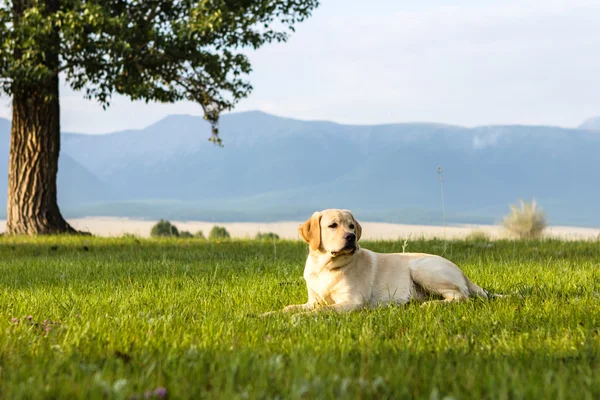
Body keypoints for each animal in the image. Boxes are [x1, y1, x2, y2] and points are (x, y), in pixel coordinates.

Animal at [264, 209, 490, 316]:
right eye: (332, 225)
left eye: (351, 226)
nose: (351, 237)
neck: (326, 267)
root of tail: (462, 272)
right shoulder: (313, 300)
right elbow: (289, 308)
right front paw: (267, 314)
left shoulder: (352, 301)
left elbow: (323, 310)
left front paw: (299, 318)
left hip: (421, 267)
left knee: (461, 296)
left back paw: (431, 305)